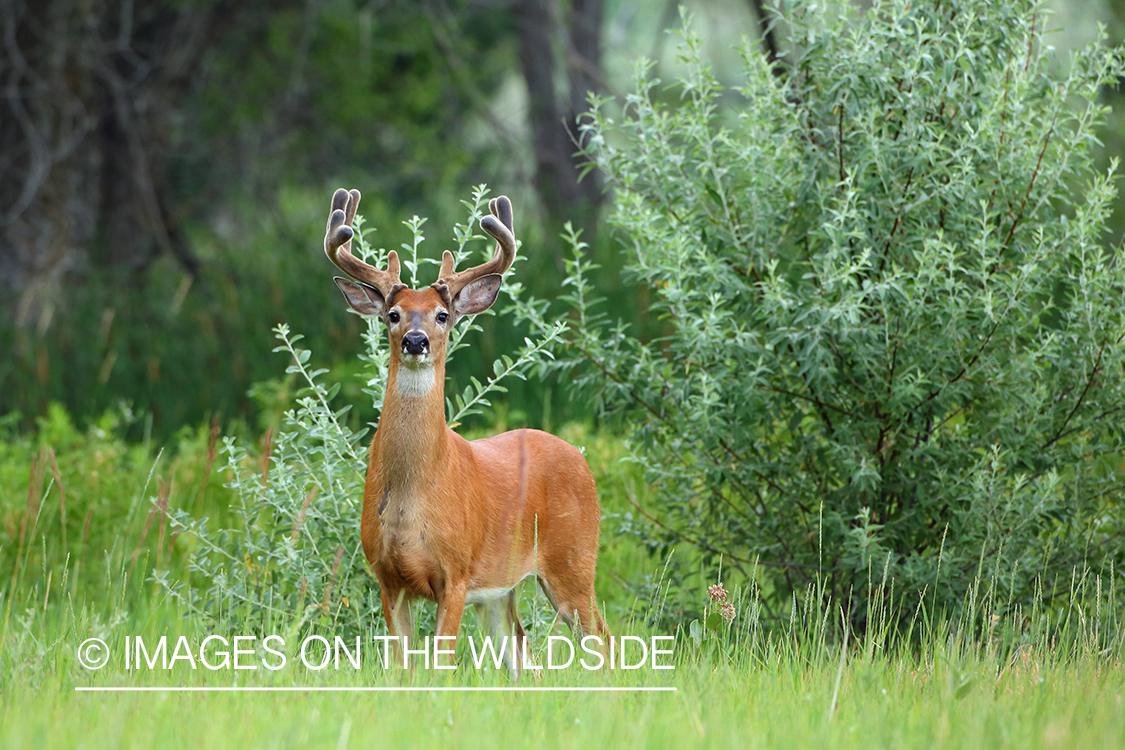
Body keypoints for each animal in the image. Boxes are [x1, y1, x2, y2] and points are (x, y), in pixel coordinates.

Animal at [321, 186, 612, 674]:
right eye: (393, 314)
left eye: (441, 315)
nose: (415, 340)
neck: (411, 498)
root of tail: (579, 456)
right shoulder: (386, 576)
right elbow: (402, 669)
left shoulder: (455, 573)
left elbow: (439, 666)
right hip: (501, 591)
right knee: (524, 657)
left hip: (574, 560)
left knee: (604, 641)